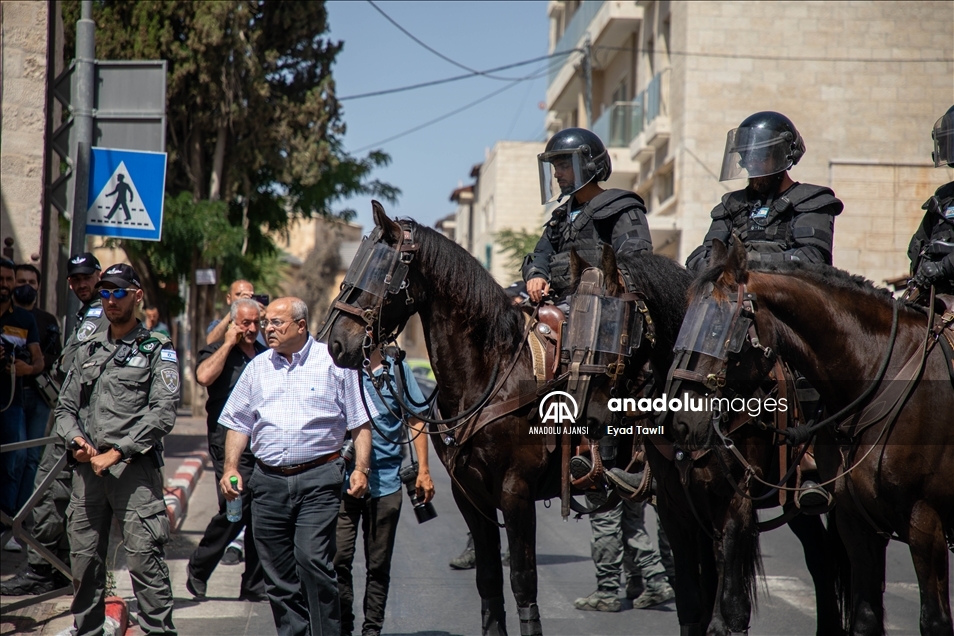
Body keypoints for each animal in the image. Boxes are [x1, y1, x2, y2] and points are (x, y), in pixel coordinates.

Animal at [568, 247, 844, 636]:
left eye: (612, 325)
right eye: (572, 323)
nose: (584, 414)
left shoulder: (735, 503)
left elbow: (734, 605)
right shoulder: (676, 506)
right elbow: (690, 599)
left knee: (822, 561)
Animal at [668, 238, 952, 636]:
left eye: (719, 330)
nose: (680, 421)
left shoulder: (925, 521)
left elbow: (935, 620)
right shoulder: (856, 521)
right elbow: (865, 617)